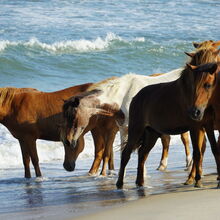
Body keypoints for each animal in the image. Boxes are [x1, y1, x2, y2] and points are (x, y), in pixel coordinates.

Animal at [115, 57, 220, 188]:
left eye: (208, 85)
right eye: (193, 86)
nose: (195, 112)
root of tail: (135, 97)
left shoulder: (207, 125)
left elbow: (214, 149)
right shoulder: (195, 127)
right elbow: (197, 153)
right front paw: (197, 180)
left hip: (151, 133)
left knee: (142, 154)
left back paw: (140, 182)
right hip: (136, 130)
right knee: (126, 154)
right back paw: (120, 184)